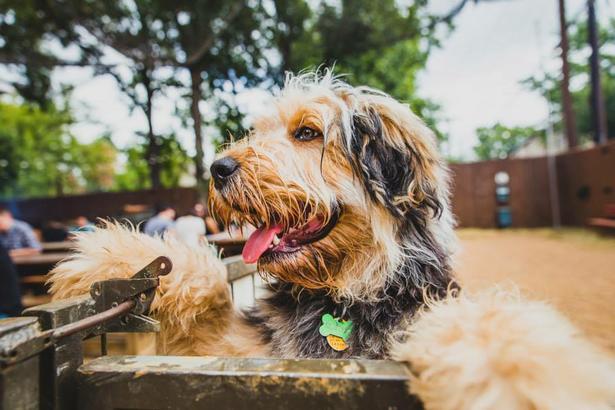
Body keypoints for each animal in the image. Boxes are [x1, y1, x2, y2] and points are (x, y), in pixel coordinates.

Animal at [51, 72, 615, 408]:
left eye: (307, 133)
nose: (218, 168)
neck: (341, 294)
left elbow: (484, 324)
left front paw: (527, 376)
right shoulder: (241, 350)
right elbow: (210, 288)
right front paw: (113, 257)